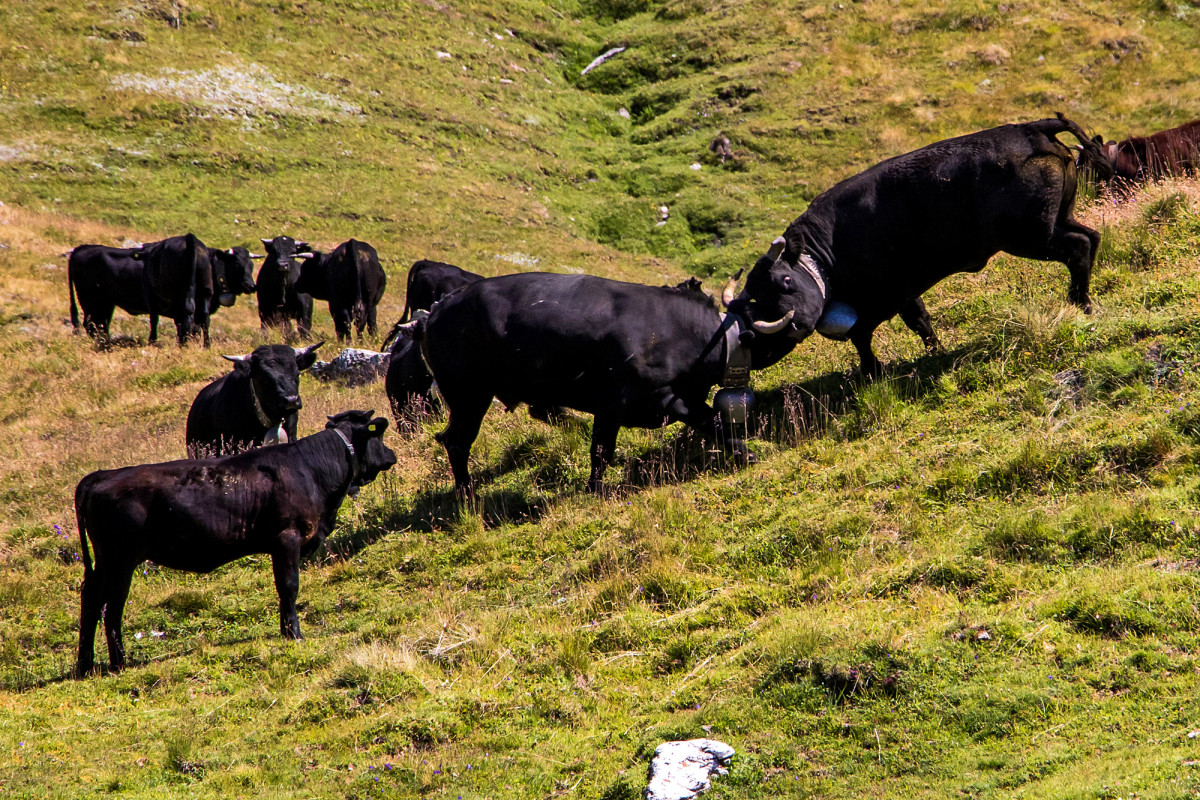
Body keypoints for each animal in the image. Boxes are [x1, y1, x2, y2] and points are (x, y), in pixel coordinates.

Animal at [76, 412, 398, 676]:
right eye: (378, 434)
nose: (392, 455)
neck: (312, 469)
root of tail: (102, 474)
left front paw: (285, 630)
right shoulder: (287, 538)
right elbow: (288, 585)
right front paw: (294, 633)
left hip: (104, 563)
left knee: (91, 601)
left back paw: (86, 665)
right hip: (120, 561)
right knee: (111, 608)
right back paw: (119, 662)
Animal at [412, 266, 816, 496]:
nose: (806, 319)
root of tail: (433, 312)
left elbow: (709, 419)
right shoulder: (622, 401)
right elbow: (603, 451)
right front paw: (595, 491)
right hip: (468, 396)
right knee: (457, 442)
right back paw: (468, 496)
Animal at [748, 113, 1113, 376]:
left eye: (785, 281)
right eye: (752, 301)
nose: (759, 343)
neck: (829, 248)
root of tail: (1030, 128)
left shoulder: (886, 296)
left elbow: (861, 333)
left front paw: (872, 372)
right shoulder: (906, 291)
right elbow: (920, 321)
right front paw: (935, 352)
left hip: (1032, 236)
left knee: (1078, 247)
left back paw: (1081, 304)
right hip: (1057, 220)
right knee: (1091, 238)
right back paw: (1081, 299)